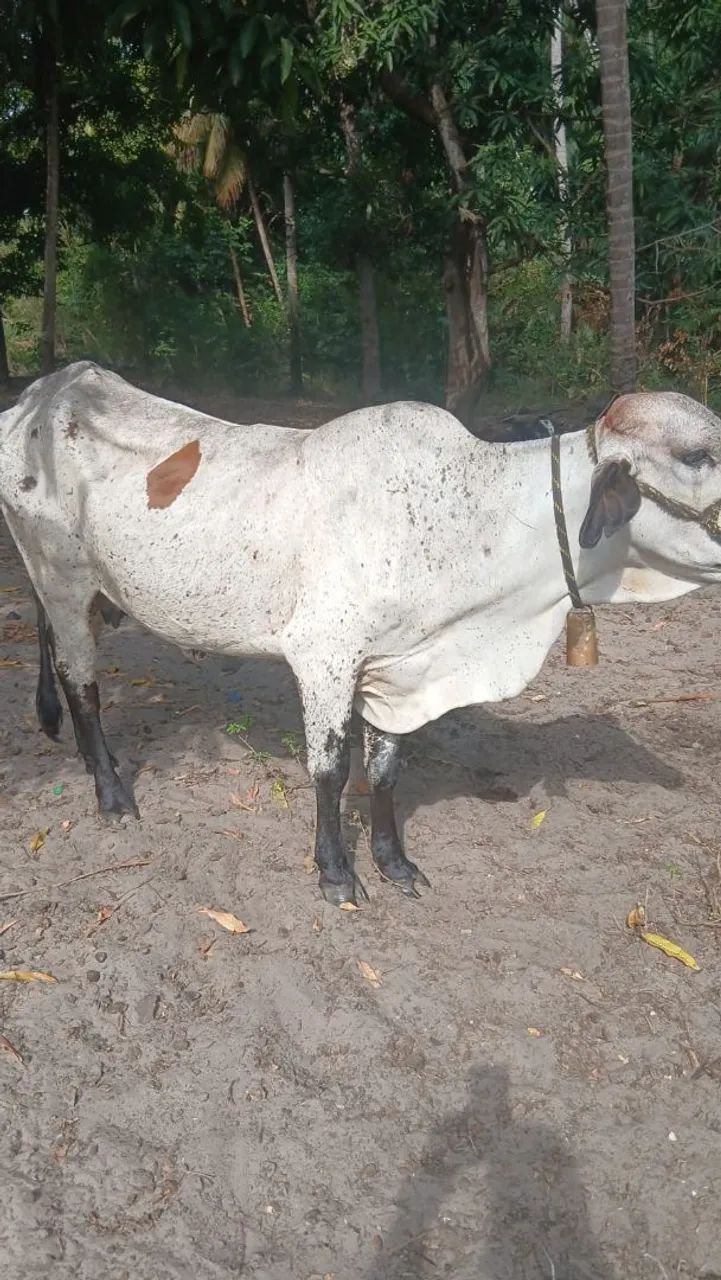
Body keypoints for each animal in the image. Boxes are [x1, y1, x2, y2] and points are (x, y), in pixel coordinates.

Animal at [2, 362, 721, 908]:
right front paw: (335, 872)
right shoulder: (323, 657)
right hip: (61, 578)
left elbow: (384, 770)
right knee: (81, 683)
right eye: (696, 455)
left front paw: (392, 861)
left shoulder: (397, 666)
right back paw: (110, 792)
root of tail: (47, 392)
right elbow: (329, 770)